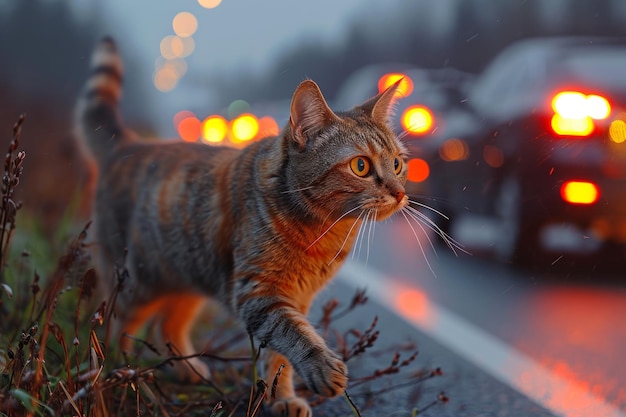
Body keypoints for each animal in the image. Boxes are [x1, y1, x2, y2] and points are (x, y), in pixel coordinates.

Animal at [75, 37, 408, 414]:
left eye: (397, 163)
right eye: (361, 166)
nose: (399, 193)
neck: (322, 231)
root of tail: (130, 143)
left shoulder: (296, 298)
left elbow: (279, 358)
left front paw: (282, 398)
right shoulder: (259, 293)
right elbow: (294, 335)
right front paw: (320, 366)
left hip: (188, 277)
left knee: (166, 324)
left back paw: (185, 368)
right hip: (136, 281)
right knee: (116, 324)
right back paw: (123, 372)